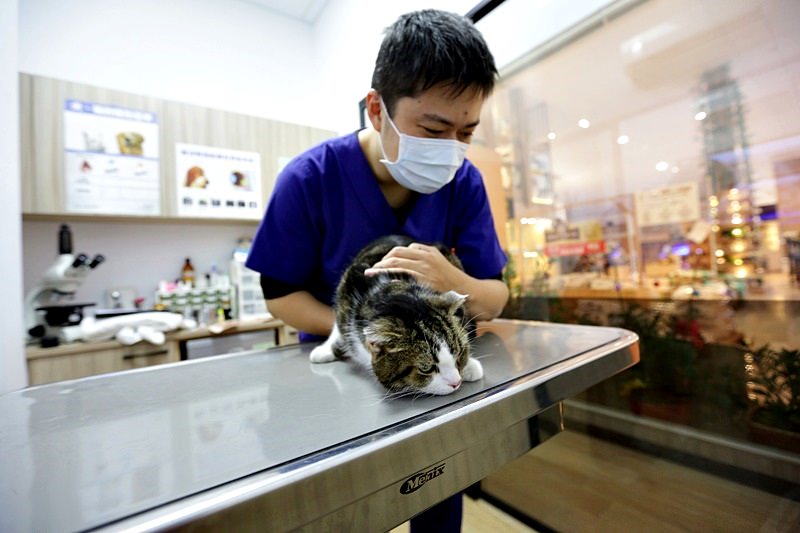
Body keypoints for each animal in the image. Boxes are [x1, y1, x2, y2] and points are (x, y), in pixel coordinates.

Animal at [310, 234, 484, 394]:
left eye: (459, 353)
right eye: (426, 369)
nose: (456, 382)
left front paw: (470, 366)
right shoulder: (345, 293)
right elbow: (338, 327)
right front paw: (325, 349)